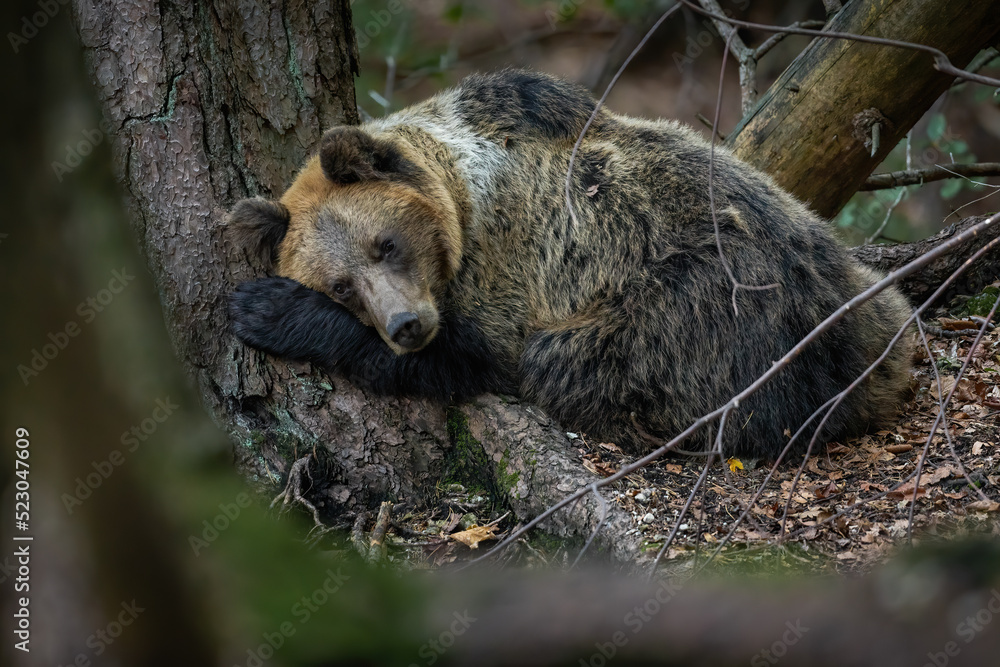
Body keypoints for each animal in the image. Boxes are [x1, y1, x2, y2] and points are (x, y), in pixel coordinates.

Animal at [227, 68, 913, 459]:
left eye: (385, 244)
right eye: (342, 284)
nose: (405, 326)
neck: (461, 194)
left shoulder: (513, 259)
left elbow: (476, 359)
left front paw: (267, 308)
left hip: (709, 311)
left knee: (572, 361)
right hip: (864, 292)